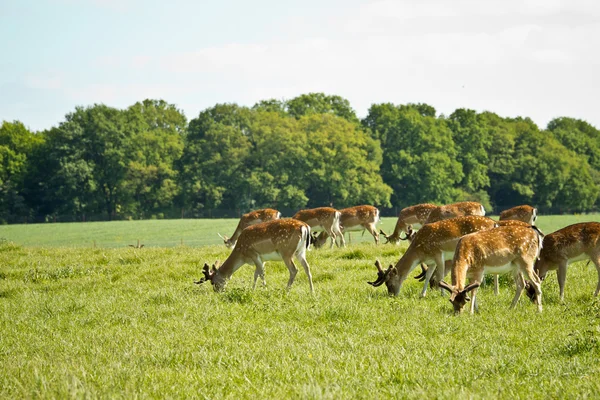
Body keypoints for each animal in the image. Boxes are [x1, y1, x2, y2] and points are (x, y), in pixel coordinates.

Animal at [368, 216, 500, 296]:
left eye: (389, 283)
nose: (392, 295)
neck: (420, 252)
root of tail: (495, 223)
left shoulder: (439, 254)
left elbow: (439, 276)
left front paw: (443, 294)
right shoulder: (431, 261)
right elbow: (428, 276)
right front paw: (422, 294)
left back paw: (492, 291)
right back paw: (493, 291)